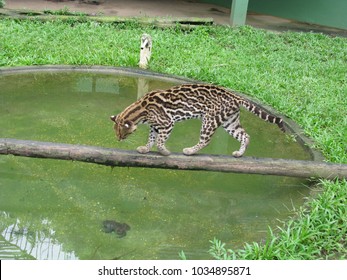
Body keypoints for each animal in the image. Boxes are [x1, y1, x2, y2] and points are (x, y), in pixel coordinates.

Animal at [111, 83, 286, 158]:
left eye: (122, 134)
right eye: (117, 134)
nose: (118, 140)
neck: (141, 110)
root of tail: (235, 96)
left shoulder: (167, 123)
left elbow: (160, 140)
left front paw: (164, 151)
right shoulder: (155, 126)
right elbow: (151, 139)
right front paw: (146, 148)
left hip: (210, 120)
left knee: (205, 140)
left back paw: (190, 150)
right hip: (230, 121)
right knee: (245, 135)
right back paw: (239, 153)